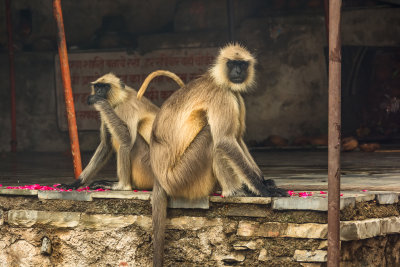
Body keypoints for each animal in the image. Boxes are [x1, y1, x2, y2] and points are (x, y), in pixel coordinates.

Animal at [144, 43, 288, 266]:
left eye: (241, 64)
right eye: (232, 63)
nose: (237, 71)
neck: (219, 80)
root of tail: (159, 179)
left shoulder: (234, 96)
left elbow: (237, 138)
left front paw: (263, 182)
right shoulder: (223, 96)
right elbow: (225, 141)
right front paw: (262, 188)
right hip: (182, 179)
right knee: (212, 137)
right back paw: (234, 192)